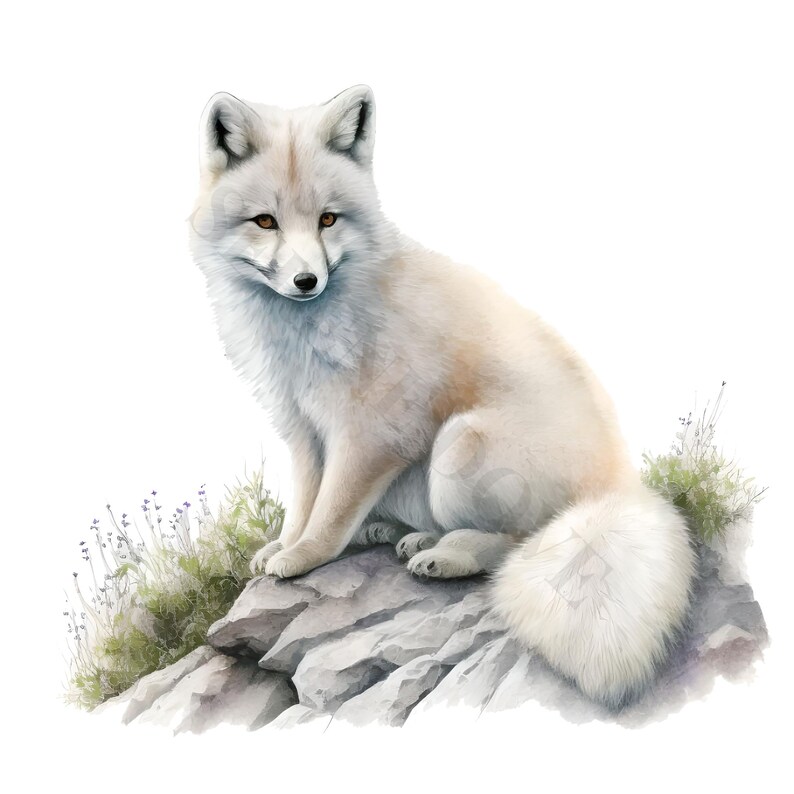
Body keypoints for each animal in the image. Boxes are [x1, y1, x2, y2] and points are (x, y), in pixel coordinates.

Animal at [189, 85, 696, 709]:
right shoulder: (303, 429)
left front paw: (303, 558)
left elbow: (329, 513)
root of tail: (620, 485)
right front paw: (281, 546)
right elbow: (305, 503)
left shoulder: (371, 432)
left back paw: (445, 556)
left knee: (514, 543)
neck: (304, 330)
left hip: (459, 445)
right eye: (265, 221)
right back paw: (401, 535)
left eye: (328, 219)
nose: (307, 281)